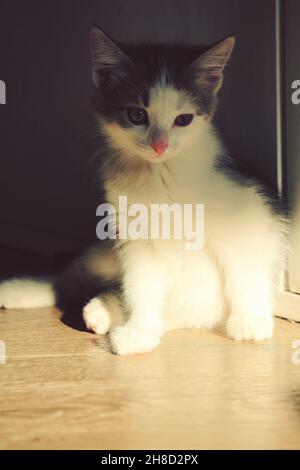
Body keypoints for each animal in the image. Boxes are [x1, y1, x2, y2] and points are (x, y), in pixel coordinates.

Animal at [0, 27, 288, 354]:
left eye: (183, 119)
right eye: (137, 115)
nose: (159, 144)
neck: (161, 174)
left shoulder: (244, 214)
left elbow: (243, 270)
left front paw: (249, 319)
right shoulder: (135, 236)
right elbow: (141, 283)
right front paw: (140, 330)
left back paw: (103, 310)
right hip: (106, 254)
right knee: (69, 279)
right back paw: (24, 291)